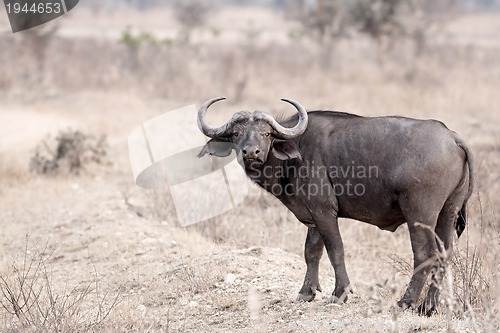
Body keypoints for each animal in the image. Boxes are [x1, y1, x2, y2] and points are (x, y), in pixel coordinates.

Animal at [195, 95, 472, 314]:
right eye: (236, 134)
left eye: (266, 134)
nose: (251, 153)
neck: (295, 153)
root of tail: (452, 137)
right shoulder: (313, 217)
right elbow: (311, 252)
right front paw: (306, 292)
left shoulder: (324, 211)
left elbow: (335, 249)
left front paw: (340, 293)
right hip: (447, 214)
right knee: (444, 255)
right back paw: (429, 306)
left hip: (419, 215)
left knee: (425, 255)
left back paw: (406, 302)